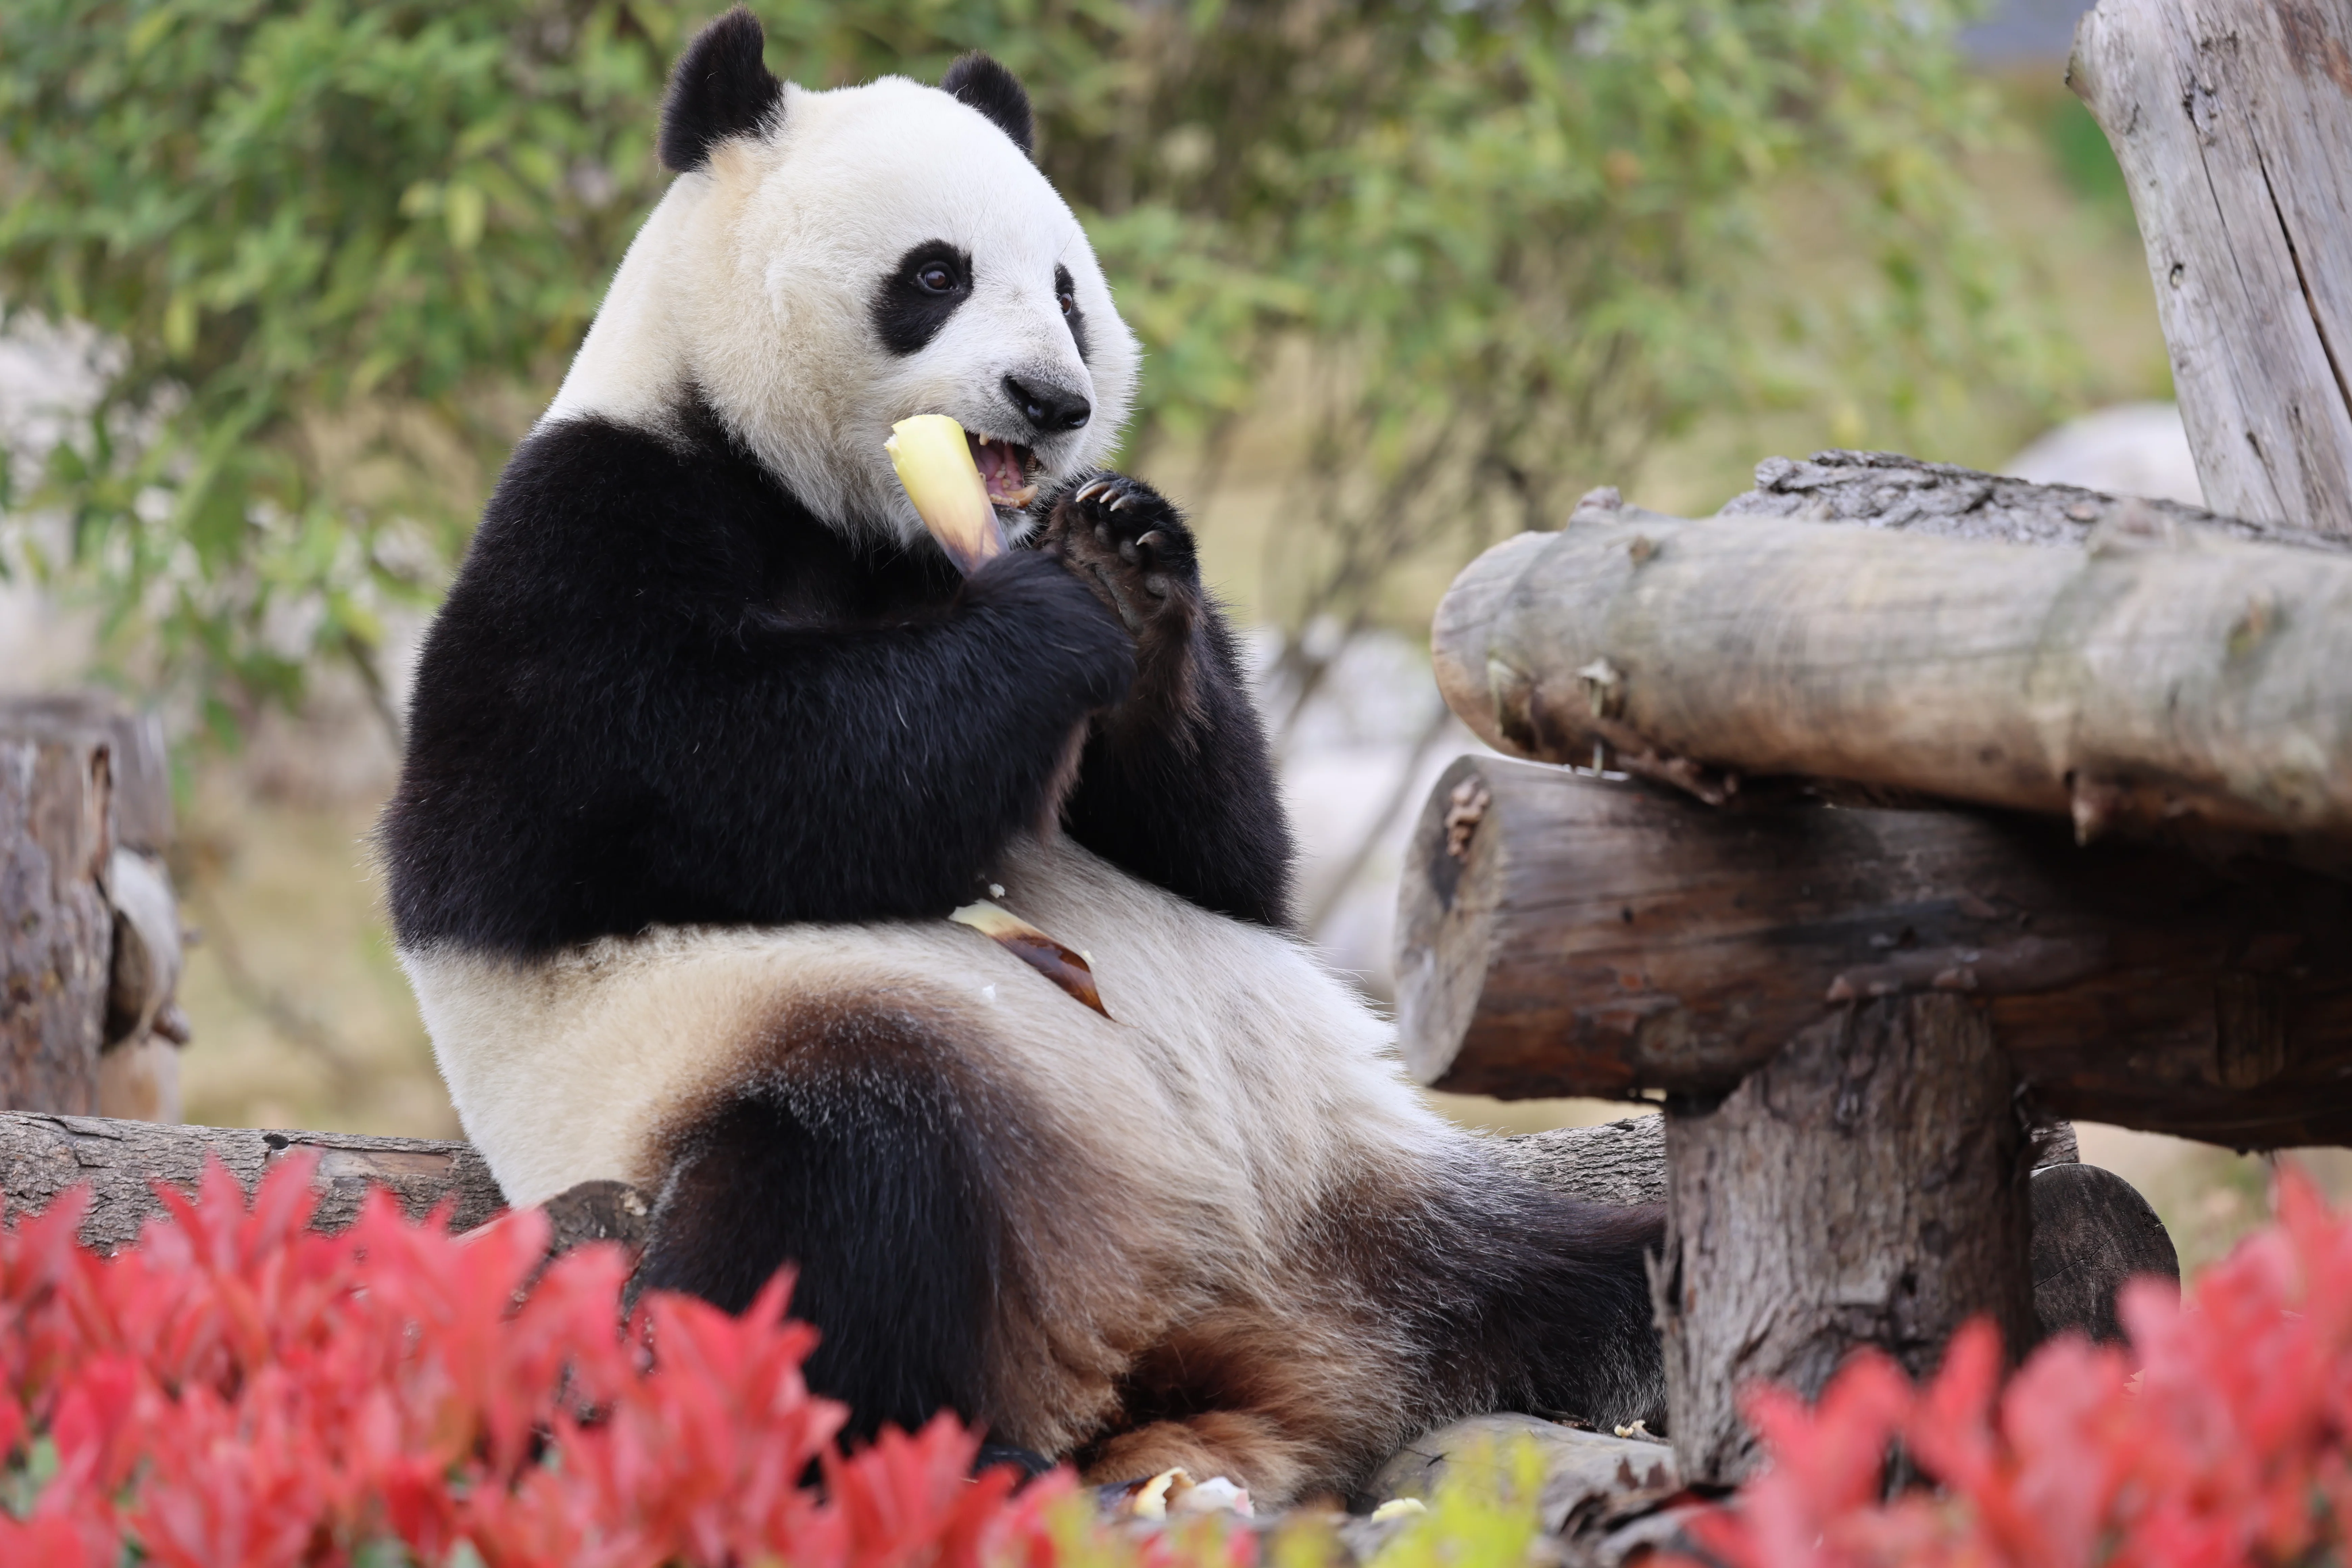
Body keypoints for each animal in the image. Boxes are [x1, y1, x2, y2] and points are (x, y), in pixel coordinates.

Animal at [380, 6, 1665, 1505]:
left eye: (1065, 288)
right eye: (934, 275)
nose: (1051, 399)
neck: (856, 515)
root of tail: (1220, 1339)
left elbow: (1226, 860)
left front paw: (1127, 548)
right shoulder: (588, 531)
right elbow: (679, 777)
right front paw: (1051, 617)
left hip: (1365, 1183)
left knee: (1574, 1263)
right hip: (792, 1062)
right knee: (824, 1211)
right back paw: (943, 1452)